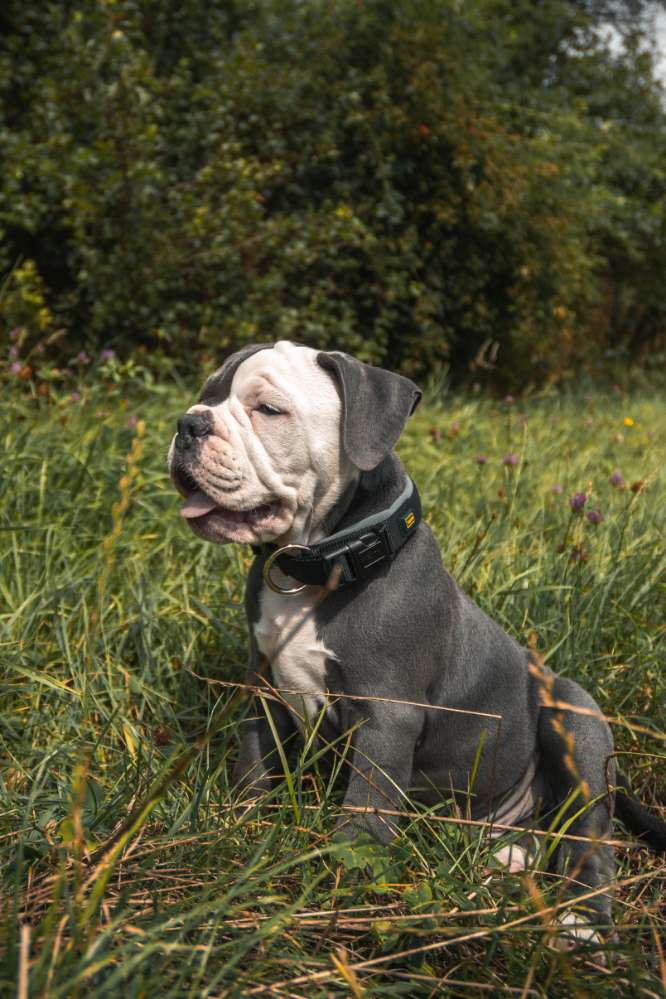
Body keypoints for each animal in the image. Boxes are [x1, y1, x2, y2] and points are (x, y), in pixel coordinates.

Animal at [167, 342, 664, 952]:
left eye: (269, 410)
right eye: (209, 394)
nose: (188, 423)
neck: (317, 563)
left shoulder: (387, 716)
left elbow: (366, 805)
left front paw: (343, 873)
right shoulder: (263, 686)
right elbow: (255, 760)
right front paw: (241, 818)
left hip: (576, 719)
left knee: (590, 834)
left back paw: (583, 921)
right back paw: (508, 854)